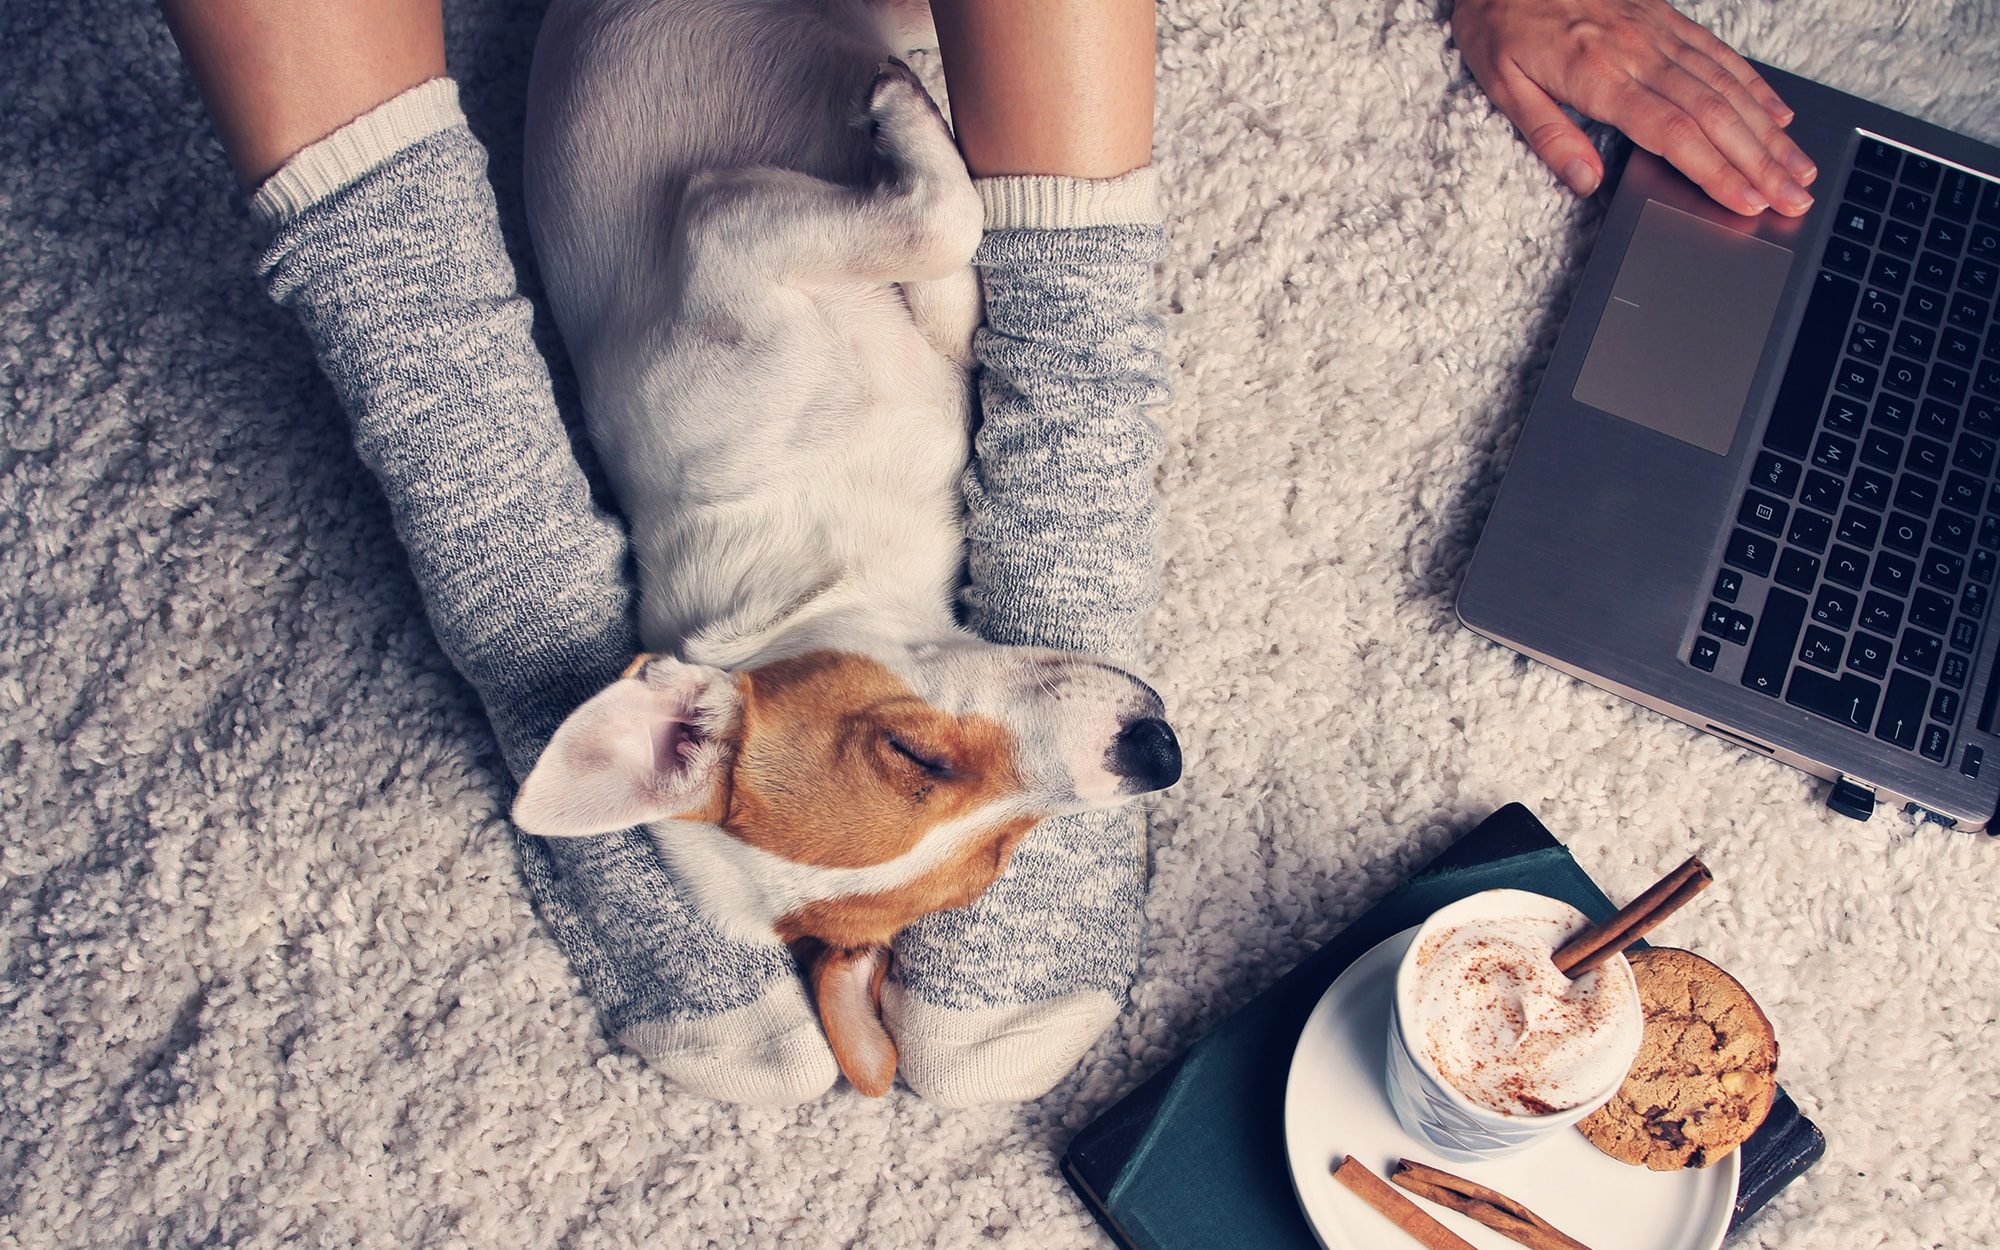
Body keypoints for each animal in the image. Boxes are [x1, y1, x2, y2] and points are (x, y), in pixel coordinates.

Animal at [508, 0, 1176, 1088]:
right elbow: (941, 219)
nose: (1157, 753)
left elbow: (956, 271)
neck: (819, 547)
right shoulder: (729, 226)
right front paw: (907, 119)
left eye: (911, 750)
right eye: (991, 864)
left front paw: (914, 139)